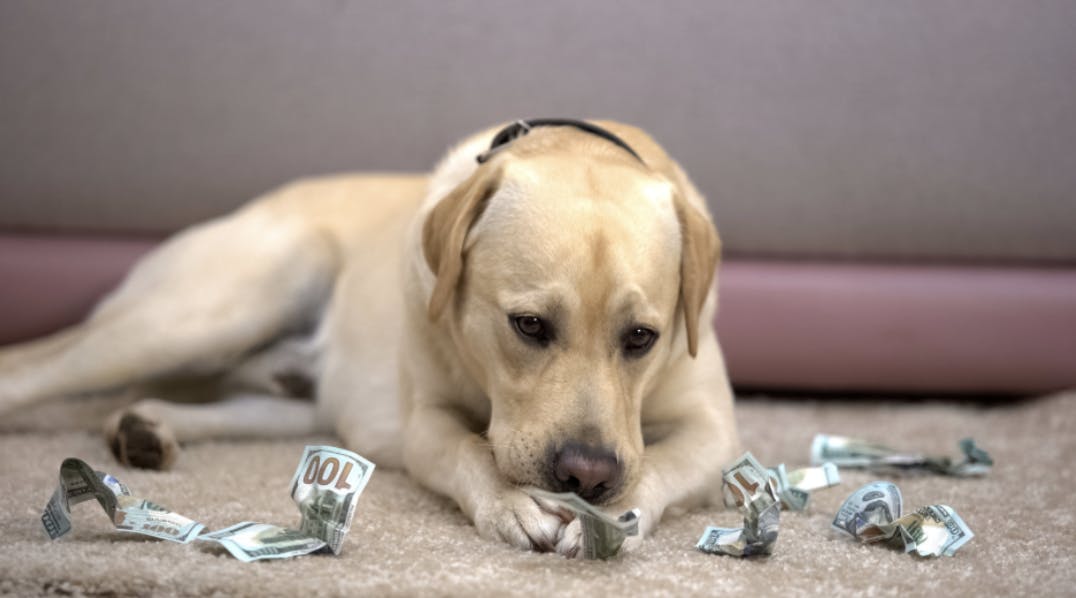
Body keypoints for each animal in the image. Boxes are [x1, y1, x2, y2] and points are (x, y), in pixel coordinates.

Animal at [0, 117, 740, 554]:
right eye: (528, 326)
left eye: (642, 338)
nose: (586, 475)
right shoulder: (425, 421)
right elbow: (467, 450)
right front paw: (510, 504)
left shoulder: (713, 433)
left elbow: (660, 464)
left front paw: (622, 514)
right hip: (214, 309)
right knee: (33, 367)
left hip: (300, 401)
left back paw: (147, 428)